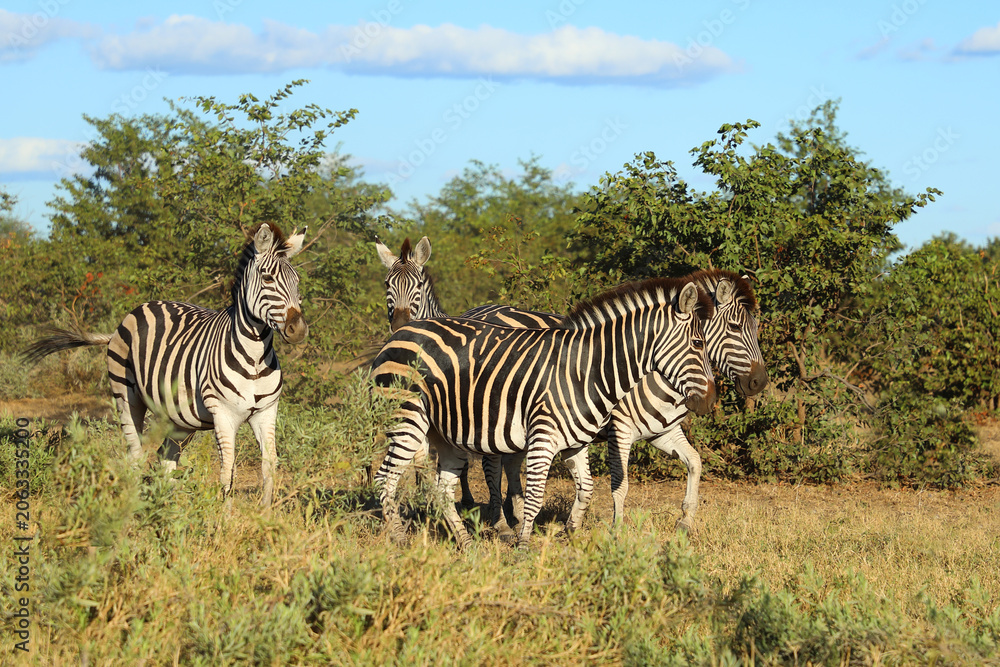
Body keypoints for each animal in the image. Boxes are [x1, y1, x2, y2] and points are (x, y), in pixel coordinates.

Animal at [24, 222, 308, 508]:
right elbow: (227, 471)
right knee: (135, 456)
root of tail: (142, 307)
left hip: (181, 417)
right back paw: (137, 507)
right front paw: (225, 515)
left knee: (165, 459)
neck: (255, 357)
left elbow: (269, 465)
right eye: (268, 278)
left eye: (297, 281)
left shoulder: (266, 412)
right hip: (126, 397)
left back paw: (166, 507)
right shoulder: (223, 414)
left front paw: (265, 512)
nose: (298, 330)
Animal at [376, 236, 767, 533]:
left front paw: (684, 522)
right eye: (735, 327)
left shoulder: (661, 432)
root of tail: (477, 311)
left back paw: (507, 513)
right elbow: (619, 484)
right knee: (490, 465)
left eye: (755, 327)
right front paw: (615, 531)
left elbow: (695, 463)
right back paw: (500, 521)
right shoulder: (620, 431)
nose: (759, 382)